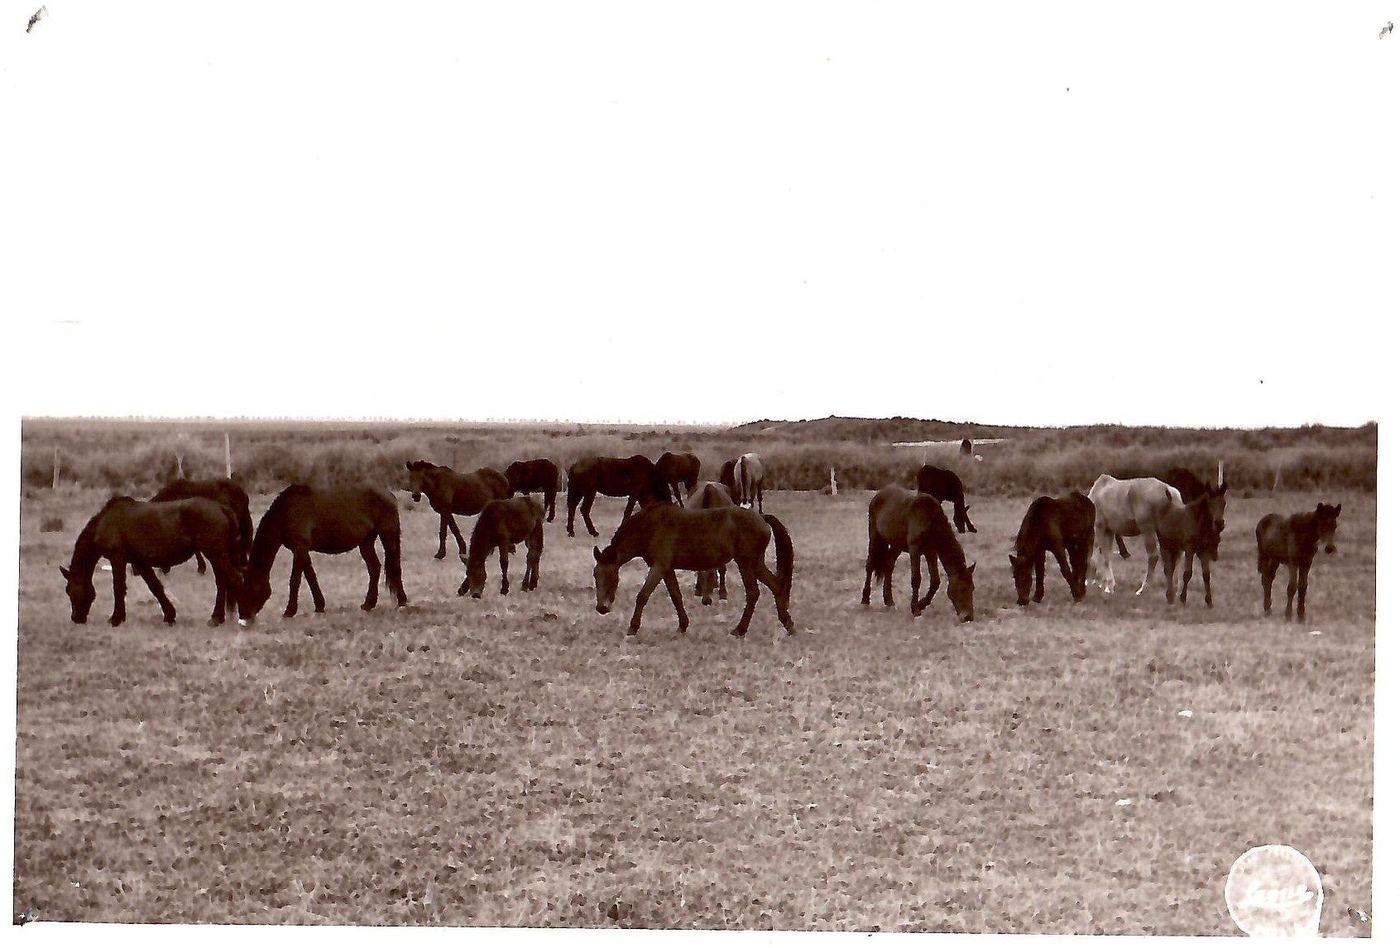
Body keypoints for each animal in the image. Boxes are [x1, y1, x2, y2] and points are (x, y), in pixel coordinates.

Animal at [60, 496, 245, 627]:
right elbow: (155, 587)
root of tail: (222, 508)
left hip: (215, 554)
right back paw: (217, 618)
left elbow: (118, 588)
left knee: (234, 579)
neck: (106, 521)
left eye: (71, 590)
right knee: (222, 583)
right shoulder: (140, 562)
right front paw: (169, 615)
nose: (75, 618)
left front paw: (116, 619)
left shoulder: (117, 558)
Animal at [239, 484, 408, 622]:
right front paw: (319, 605)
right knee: (374, 568)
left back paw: (402, 601)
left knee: (394, 567)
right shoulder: (301, 550)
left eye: (249, 588)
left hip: (388, 535)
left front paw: (289, 611)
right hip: (366, 542)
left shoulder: (300, 548)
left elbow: (295, 580)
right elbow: (310, 577)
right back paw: (368, 604)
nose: (243, 617)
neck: (286, 511)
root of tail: (389, 494)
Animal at [591, 503, 795, 638]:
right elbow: (676, 596)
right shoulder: (667, 569)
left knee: (753, 593)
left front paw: (633, 627)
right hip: (756, 564)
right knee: (776, 586)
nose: (601, 607)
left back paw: (740, 629)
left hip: (746, 563)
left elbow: (642, 596)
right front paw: (683, 625)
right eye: (595, 574)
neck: (650, 526)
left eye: (611, 575)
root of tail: (761, 517)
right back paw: (788, 623)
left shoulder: (659, 566)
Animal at [862, 485, 976, 621]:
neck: (931, 520)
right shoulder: (915, 550)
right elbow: (916, 579)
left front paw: (921, 604)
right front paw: (915, 609)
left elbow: (935, 581)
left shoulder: (931, 552)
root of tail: (878, 494)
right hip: (875, 537)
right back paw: (865, 600)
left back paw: (889, 601)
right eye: (962, 589)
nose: (968, 617)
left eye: (972, 588)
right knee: (870, 566)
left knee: (888, 566)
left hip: (896, 545)